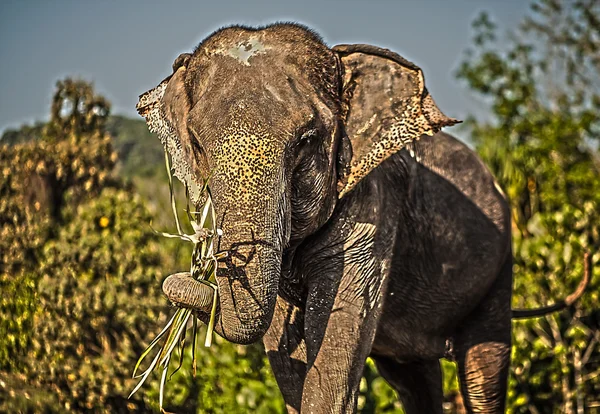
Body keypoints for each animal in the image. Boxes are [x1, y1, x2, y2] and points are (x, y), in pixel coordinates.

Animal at [137, 23, 592, 414]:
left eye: (307, 139)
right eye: (196, 143)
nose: (189, 279)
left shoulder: (374, 204)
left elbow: (337, 336)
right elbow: (286, 347)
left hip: (498, 268)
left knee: (483, 368)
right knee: (414, 379)